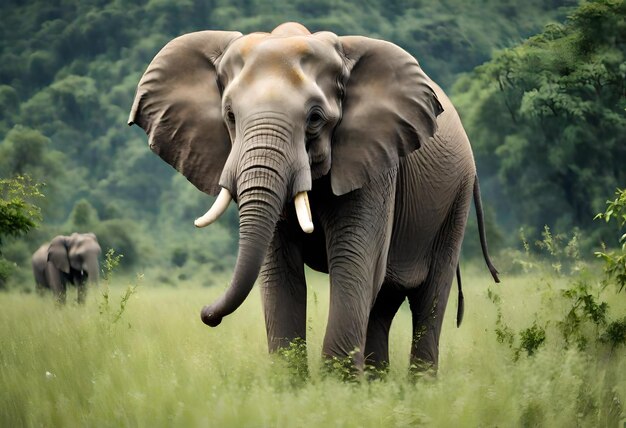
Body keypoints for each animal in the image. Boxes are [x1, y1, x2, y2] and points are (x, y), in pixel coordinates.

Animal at [129, 21, 500, 372]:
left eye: (315, 119)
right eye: (230, 116)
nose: (207, 314)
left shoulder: (375, 163)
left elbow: (354, 260)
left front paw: (337, 386)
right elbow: (281, 270)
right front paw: (291, 384)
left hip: (456, 199)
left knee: (428, 300)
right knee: (383, 302)